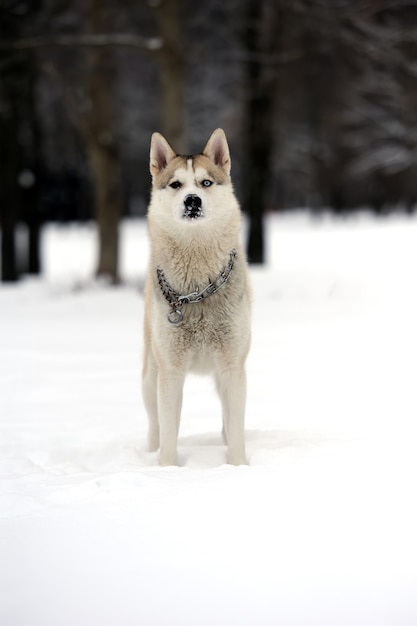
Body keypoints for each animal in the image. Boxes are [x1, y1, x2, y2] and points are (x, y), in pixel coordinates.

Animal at [141, 128, 250, 464]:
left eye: (206, 183)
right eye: (176, 184)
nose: (192, 200)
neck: (197, 292)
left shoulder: (232, 367)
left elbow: (236, 431)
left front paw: (238, 467)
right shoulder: (170, 371)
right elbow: (168, 435)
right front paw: (166, 468)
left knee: (227, 420)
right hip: (150, 375)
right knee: (154, 424)